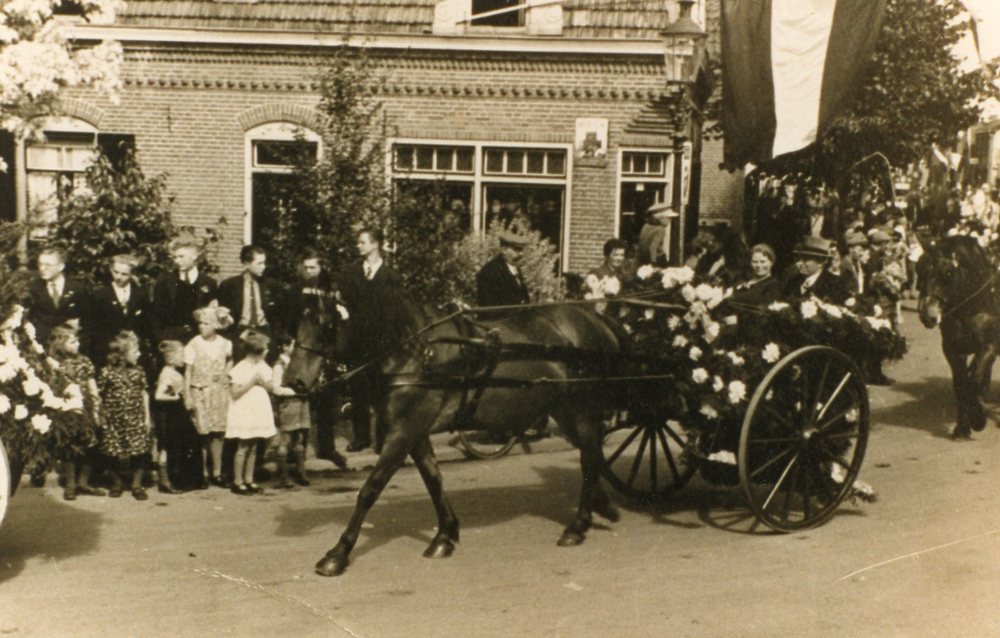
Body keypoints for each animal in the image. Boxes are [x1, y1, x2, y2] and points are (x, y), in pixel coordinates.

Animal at [312, 298, 629, 577]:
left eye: (325, 324)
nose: (303, 383)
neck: (415, 353)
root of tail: (596, 318)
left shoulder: (402, 433)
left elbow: (371, 489)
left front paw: (337, 554)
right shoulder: (414, 432)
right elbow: (433, 478)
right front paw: (444, 536)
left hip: (581, 407)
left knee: (589, 456)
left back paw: (577, 526)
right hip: (564, 409)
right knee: (590, 451)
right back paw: (602, 507)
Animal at [917, 234, 1000, 438]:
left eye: (947, 272)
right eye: (920, 269)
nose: (927, 314)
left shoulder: (990, 346)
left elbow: (974, 378)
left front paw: (978, 419)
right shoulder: (952, 348)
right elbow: (961, 381)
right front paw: (962, 426)